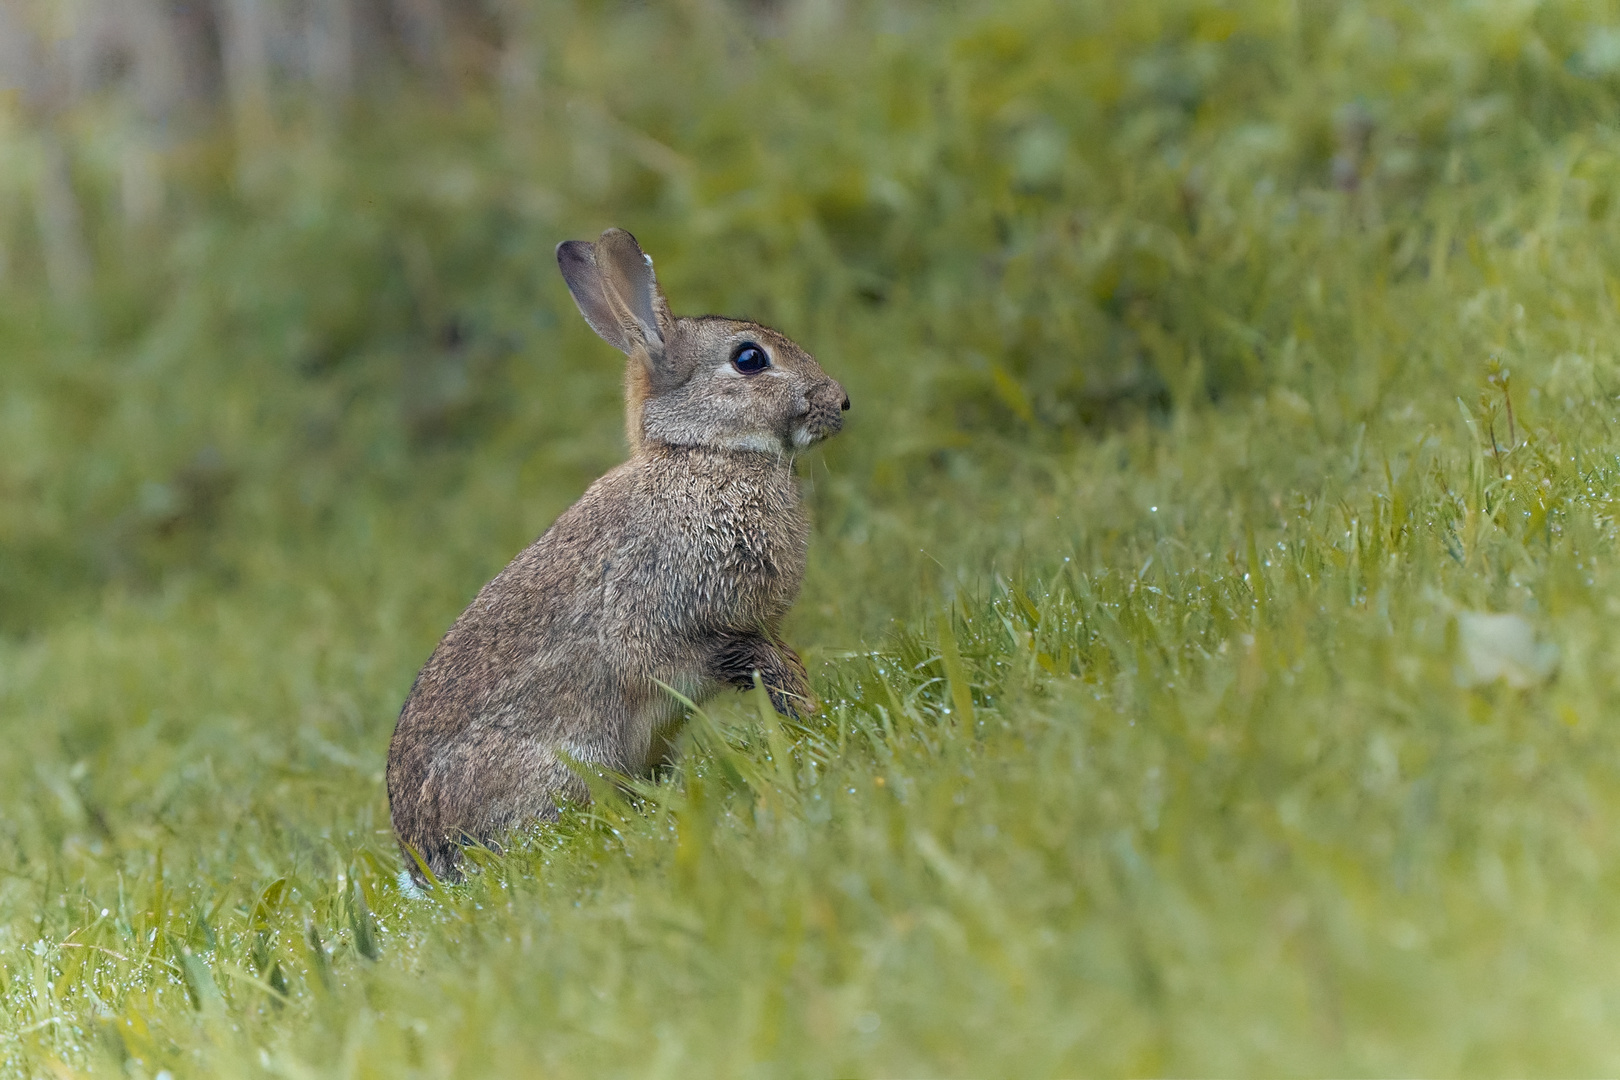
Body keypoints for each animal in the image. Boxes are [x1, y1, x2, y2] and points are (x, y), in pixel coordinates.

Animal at [387, 228, 855, 887]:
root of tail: (425, 863)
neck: (701, 452)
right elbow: (757, 666)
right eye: (749, 359)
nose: (840, 401)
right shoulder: (693, 623)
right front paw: (807, 714)